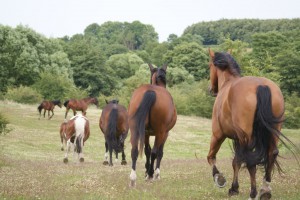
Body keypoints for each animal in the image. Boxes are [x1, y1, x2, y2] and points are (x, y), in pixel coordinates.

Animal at [206, 48, 298, 200]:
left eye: (209, 66)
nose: (211, 89)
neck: (228, 83)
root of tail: (261, 85)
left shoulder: (218, 134)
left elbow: (212, 157)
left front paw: (220, 179)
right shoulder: (238, 138)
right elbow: (236, 161)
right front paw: (234, 188)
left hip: (244, 137)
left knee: (251, 162)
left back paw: (253, 193)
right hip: (273, 132)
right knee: (272, 153)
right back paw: (265, 190)